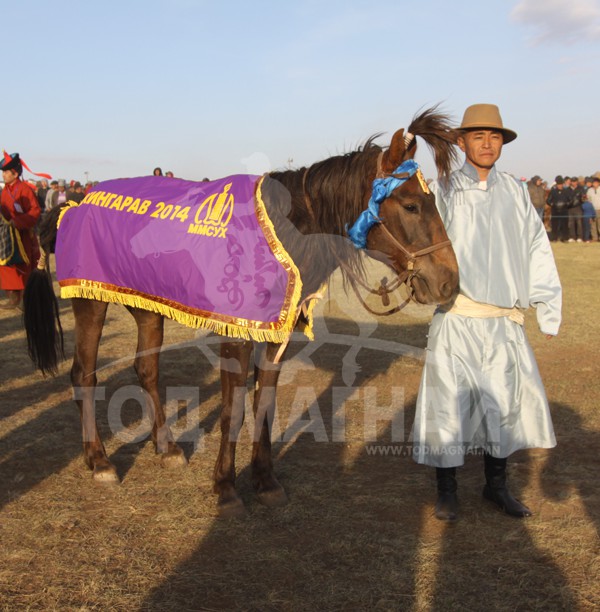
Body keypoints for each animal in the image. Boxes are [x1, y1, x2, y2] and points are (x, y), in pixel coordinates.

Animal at [23, 109, 460, 516]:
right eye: (411, 204)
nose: (449, 282)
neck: (280, 233)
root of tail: (74, 203)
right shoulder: (237, 335)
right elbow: (232, 411)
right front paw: (226, 488)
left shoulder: (276, 336)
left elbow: (263, 404)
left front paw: (265, 481)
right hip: (90, 302)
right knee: (84, 374)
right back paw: (99, 461)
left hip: (146, 308)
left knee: (146, 371)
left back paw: (166, 449)